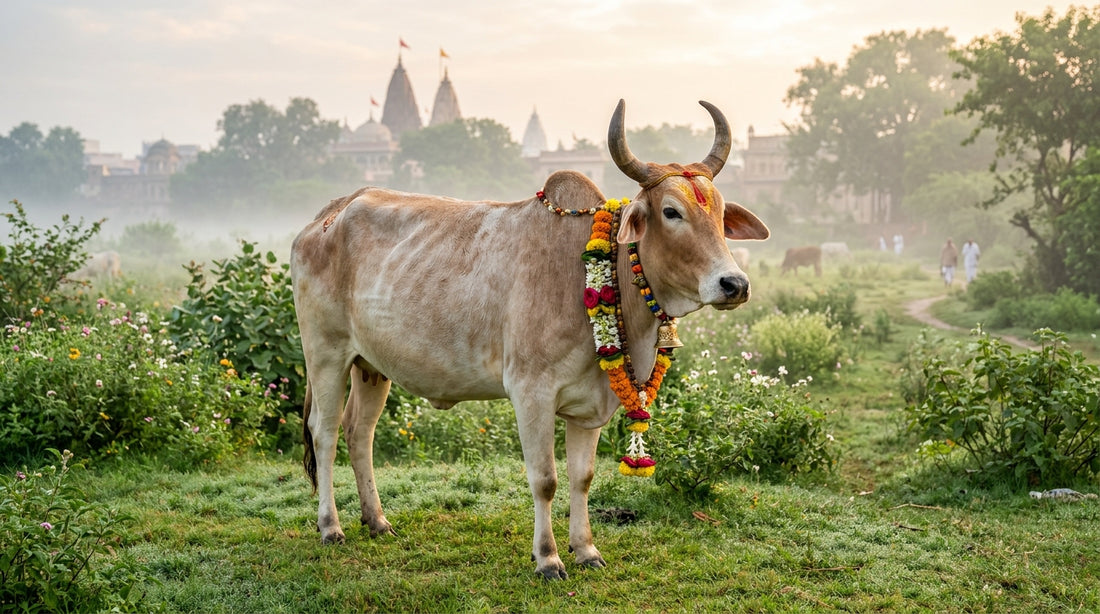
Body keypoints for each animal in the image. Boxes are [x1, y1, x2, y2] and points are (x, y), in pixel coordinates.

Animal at [290, 100, 769, 580]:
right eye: (671, 212)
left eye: (720, 214)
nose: (734, 284)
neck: (590, 275)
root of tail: (329, 212)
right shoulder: (530, 392)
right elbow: (545, 480)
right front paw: (548, 557)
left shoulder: (590, 405)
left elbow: (582, 478)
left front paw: (586, 549)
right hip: (326, 353)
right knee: (324, 432)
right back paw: (331, 527)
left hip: (371, 366)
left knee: (359, 432)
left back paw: (377, 520)